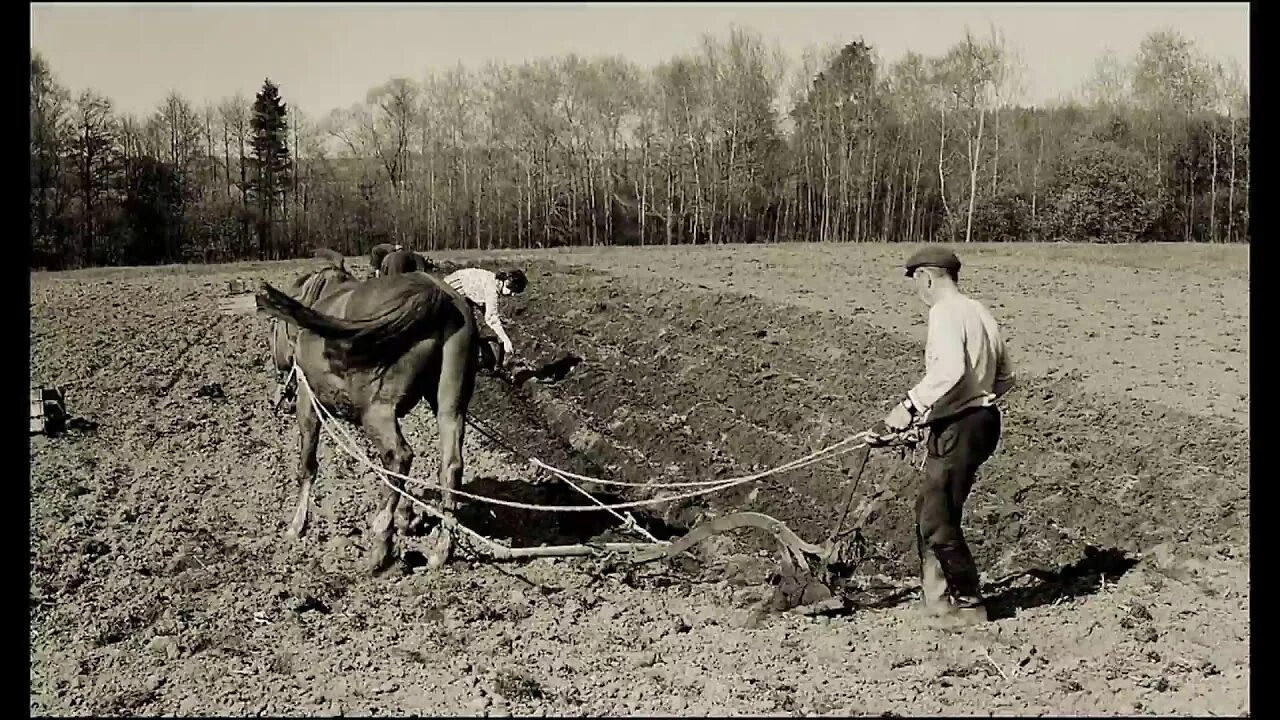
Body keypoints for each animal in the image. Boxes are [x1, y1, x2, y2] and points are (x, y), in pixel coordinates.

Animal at [254, 267, 481, 571]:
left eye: (272, 330)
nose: (274, 398)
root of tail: (437, 295)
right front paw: (407, 516)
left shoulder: (307, 401)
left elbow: (308, 466)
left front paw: (296, 526)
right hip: (450, 406)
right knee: (450, 467)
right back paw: (441, 550)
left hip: (376, 411)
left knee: (399, 457)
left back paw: (380, 547)